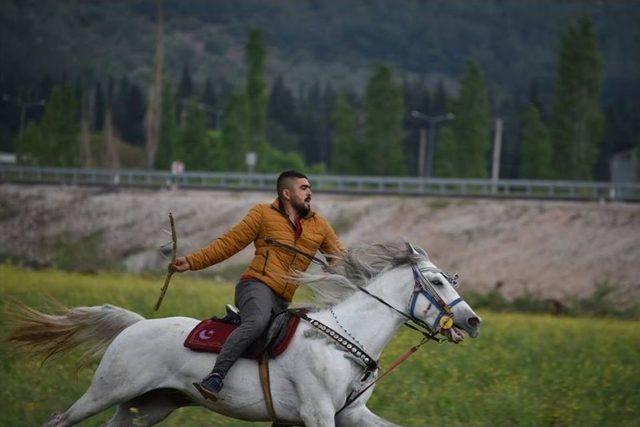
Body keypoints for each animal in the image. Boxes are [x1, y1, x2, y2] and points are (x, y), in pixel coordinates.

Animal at [8, 242, 480, 426]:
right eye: (437, 282)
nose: (473, 322)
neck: (344, 341)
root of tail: (135, 325)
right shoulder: (318, 414)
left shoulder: (351, 415)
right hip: (106, 391)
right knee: (60, 419)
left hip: (149, 405)